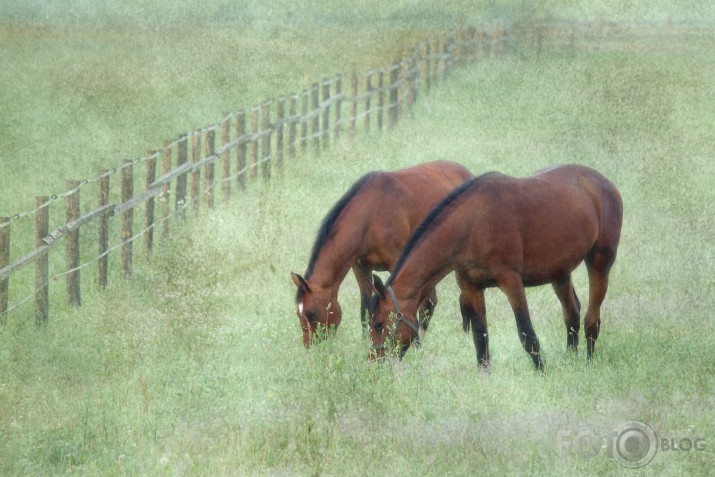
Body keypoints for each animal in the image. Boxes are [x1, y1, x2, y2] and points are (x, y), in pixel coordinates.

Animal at [290, 160, 476, 346]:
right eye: (299, 313)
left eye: (311, 313)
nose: (310, 346)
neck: (370, 215)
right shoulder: (360, 267)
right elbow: (365, 309)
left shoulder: (398, 263)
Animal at [370, 164, 620, 368]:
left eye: (379, 324)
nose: (374, 362)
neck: (472, 225)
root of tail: (605, 183)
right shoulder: (471, 287)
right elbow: (480, 338)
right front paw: (484, 377)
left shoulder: (511, 282)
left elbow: (527, 335)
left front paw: (542, 372)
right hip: (559, 273)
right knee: (572, 314)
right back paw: (570, 359)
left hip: (599, 263)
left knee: (591, 319)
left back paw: (587, 363)